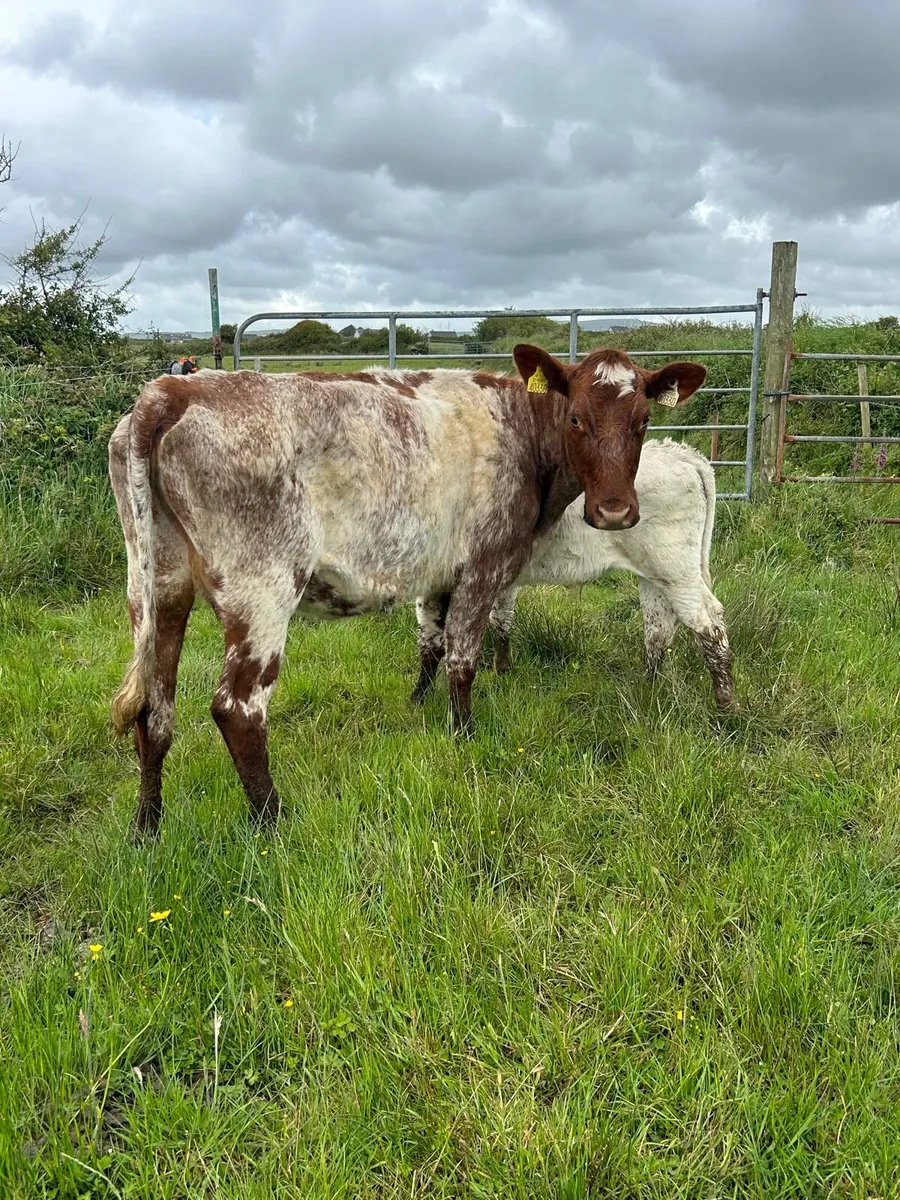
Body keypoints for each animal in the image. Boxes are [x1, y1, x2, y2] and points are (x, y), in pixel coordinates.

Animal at [414, 439, 733, 710]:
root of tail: (679, 453)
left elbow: (432, 639)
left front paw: (418, 699)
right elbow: (499, 621)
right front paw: (501, 672)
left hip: (676, 569)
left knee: (709, 622)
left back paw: (725, 706)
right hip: (655, 573)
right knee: (658, 628)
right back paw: (649, 689)